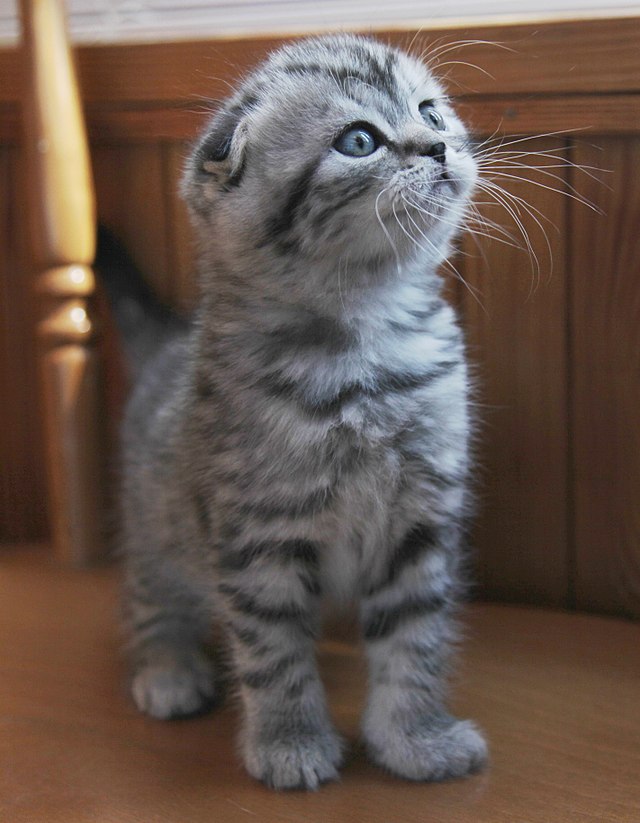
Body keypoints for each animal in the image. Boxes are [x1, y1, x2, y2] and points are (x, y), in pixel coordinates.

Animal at [107, 33, 488, 792]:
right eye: (359, 140)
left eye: (430, 111)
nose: (437, 146)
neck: (365, 348)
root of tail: (166, 347)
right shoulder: (259, 535)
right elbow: (273, 650)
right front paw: (289, 740)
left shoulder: (422, 521)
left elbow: (416, 636)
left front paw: (414, 737)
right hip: (157, 518)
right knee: (149, 594)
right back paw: (167, 668)